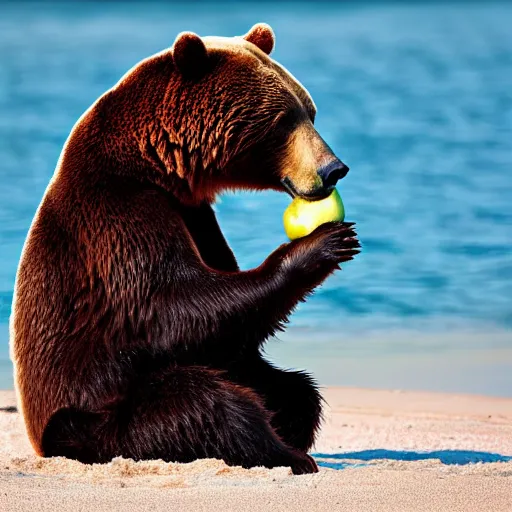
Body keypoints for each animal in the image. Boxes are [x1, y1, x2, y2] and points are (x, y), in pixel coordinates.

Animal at [10, 22, 358, 474]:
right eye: (283, 121)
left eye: (310, 111)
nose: (333, 169)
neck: (156, 165)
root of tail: (42, 442)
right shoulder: (120, 216)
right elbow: (170, 306)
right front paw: (323, 244)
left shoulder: (196, 216)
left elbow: (227, 329)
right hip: (93, 419)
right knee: (198, 402)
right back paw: (289, 455)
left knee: (293, 390)